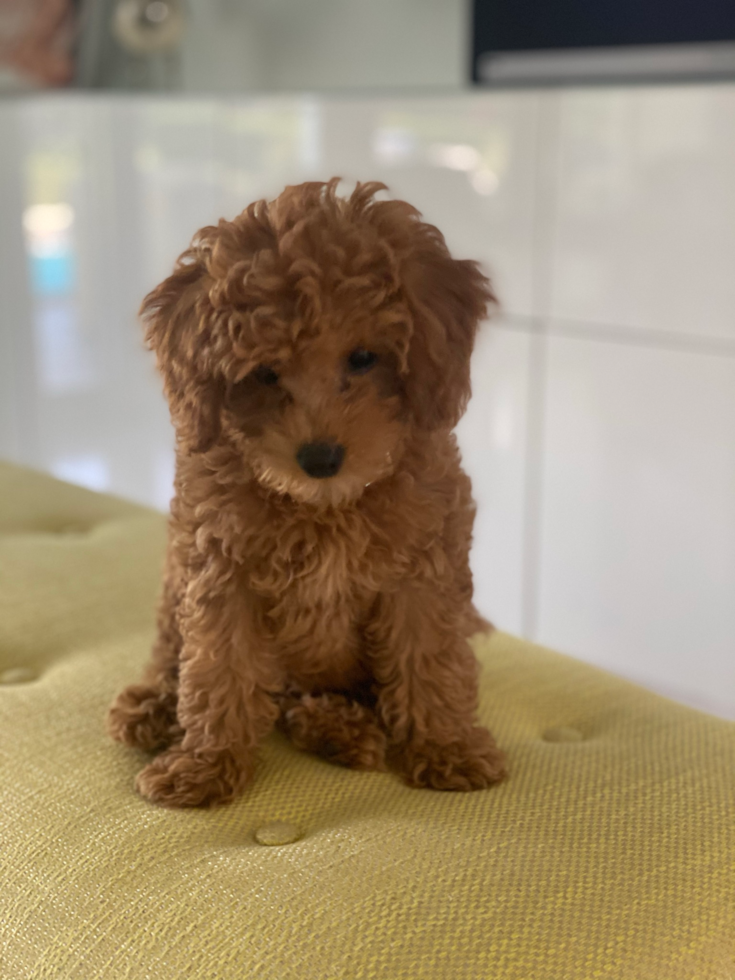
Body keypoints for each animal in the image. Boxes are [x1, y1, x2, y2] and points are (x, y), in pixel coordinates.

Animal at [109, 180, 508, 808]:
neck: (324, 506)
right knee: (178, 661)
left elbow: (429, 658)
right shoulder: (221, 570)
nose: (320, 458)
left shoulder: (423, 570)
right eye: (265, 372)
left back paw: (340, 729)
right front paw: (205, 764)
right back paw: (153, 709)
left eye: (364, 357)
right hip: (175, 587)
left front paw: (447, 748)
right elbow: (217, 669)